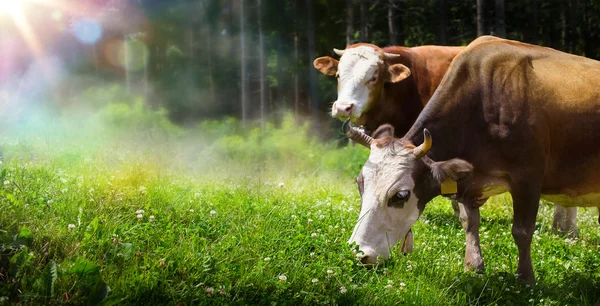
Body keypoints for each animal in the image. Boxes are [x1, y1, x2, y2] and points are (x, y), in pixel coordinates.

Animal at [342, 36, 600, 284]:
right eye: (360, 184)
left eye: (401, 195)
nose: (359, 253)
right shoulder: (467, 180)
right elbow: (469, 222)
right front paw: (473, 266)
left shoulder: (528, 178)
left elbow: (522, 231)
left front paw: (526, 278)